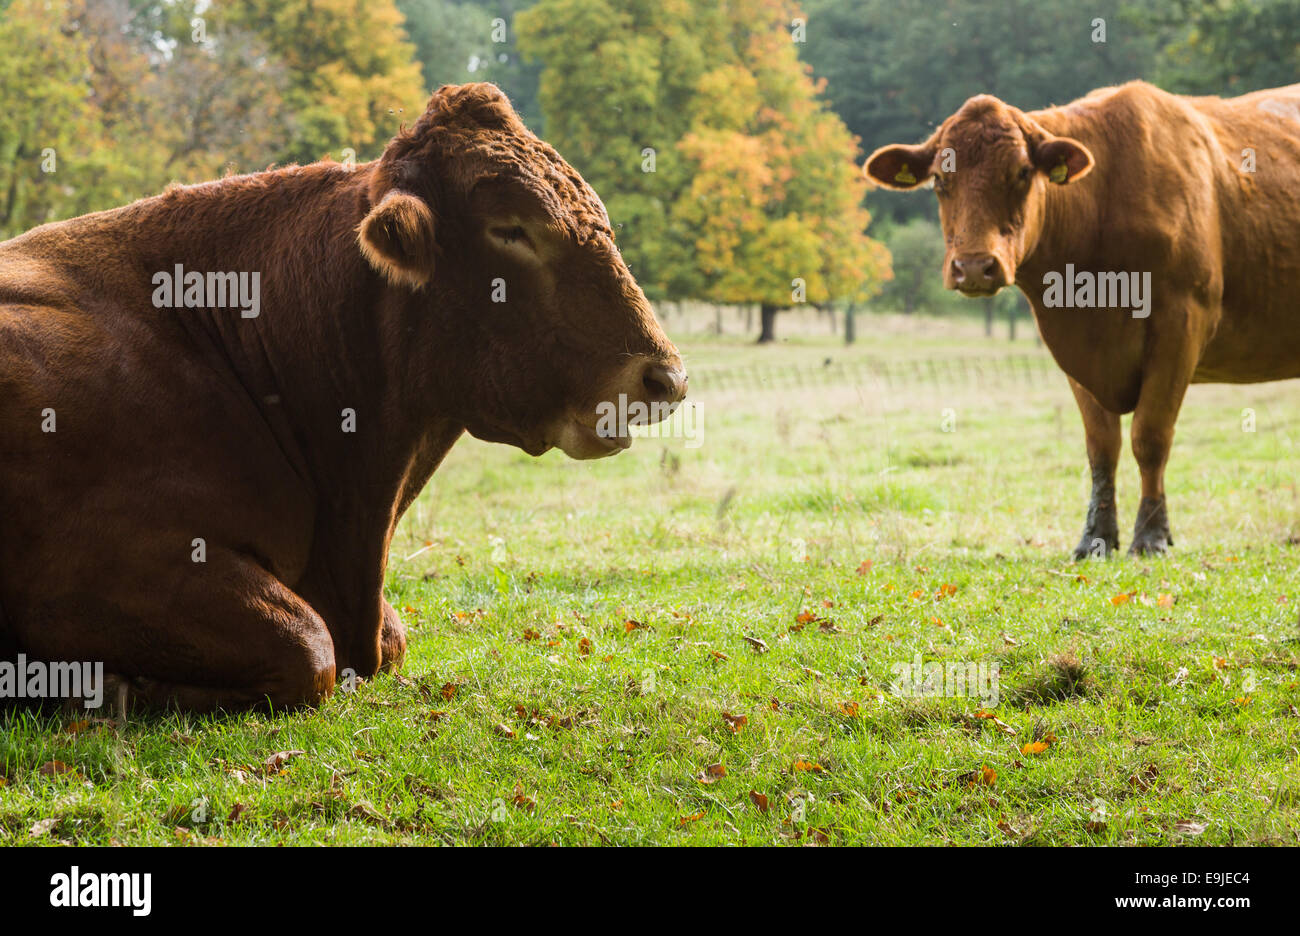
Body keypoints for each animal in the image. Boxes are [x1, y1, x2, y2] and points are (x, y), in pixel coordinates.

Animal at [0, 83, 686, 712]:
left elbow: (388, 635)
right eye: (511, 229)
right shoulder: (94, 566)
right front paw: (115, 683)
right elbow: (308, 646)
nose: (667, 380)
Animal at [865, 80, 1300, 559]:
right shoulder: (1074, 344)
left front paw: (1151, 535)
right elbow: (1102, 447)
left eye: (1022, 172)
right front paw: (1097, 537)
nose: (975, 266)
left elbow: (1150, 436)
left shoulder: (1182, 323)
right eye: (941, 180)